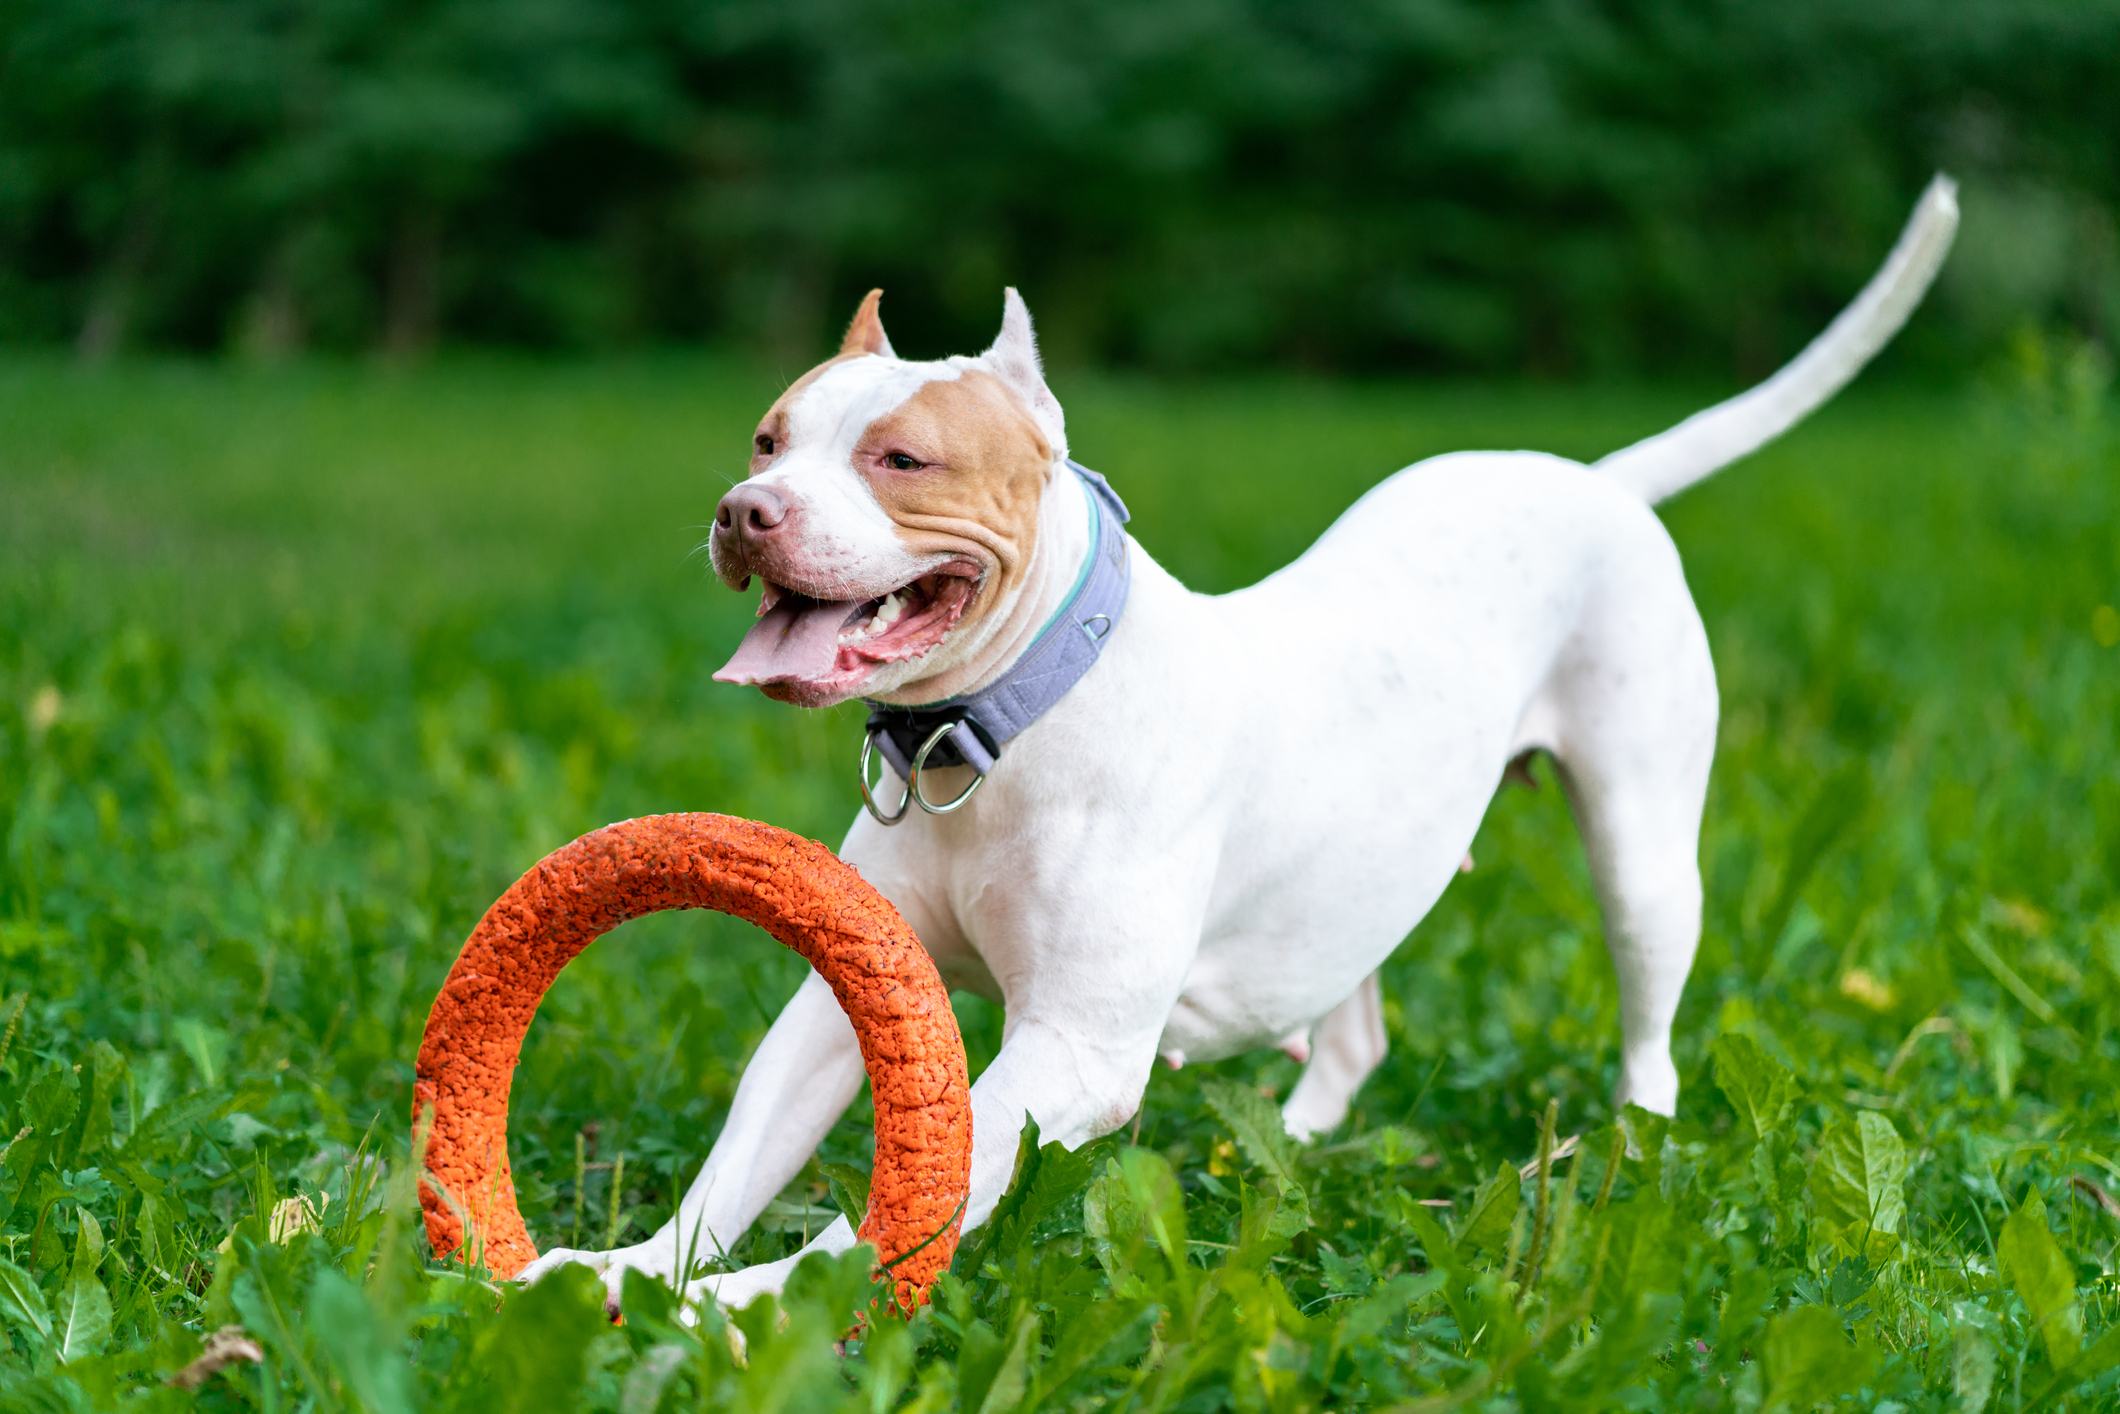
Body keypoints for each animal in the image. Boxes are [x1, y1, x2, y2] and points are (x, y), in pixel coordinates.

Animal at [525, 180, 1950, 1314]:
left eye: (902, 458)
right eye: (766, 440)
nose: (745, 511)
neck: (997, 730)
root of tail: (1593, 479)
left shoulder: (1075, 1052)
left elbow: (906, 1200)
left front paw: (753, 1303)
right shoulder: (843, 995)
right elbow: (742, 1153)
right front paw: (631, 1271)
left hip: (1642, 850)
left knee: (1646, 1002)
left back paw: (1633, 1145)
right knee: (1352, 1019)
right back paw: (1300, 1139)